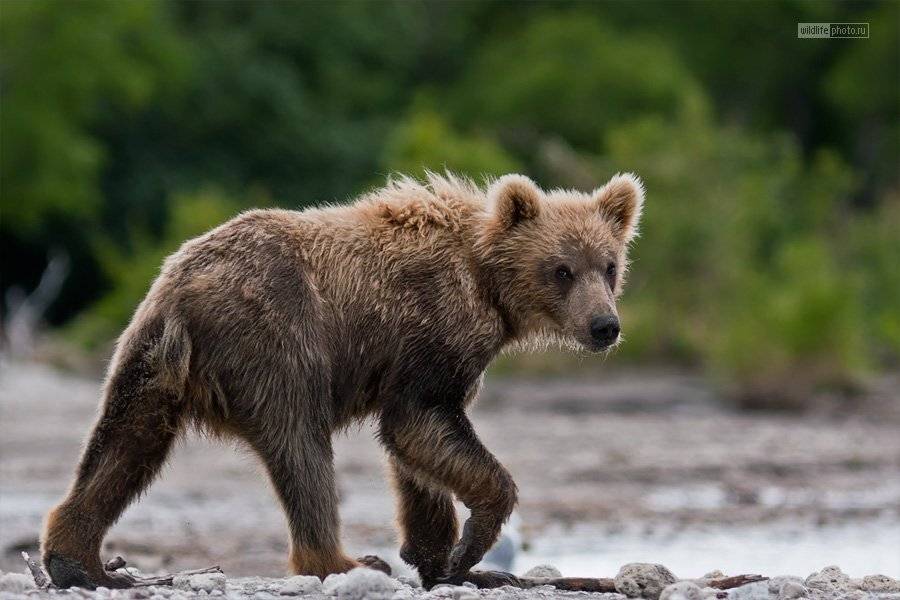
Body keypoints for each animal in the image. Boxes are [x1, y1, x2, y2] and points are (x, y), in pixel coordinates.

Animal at [41, 171, 644, 590]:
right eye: (562, 269)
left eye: (609, 265)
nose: (605, 325)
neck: (486, 285)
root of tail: (184, 290)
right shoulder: (432, 332)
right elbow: (421, 421)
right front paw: (472, 544)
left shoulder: (422, 361)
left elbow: (416, 453)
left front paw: (445, 560)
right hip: (277, 339)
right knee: (302, 449)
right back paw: (343, 559)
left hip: (151, 357)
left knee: (125, 442)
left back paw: (81, 562)